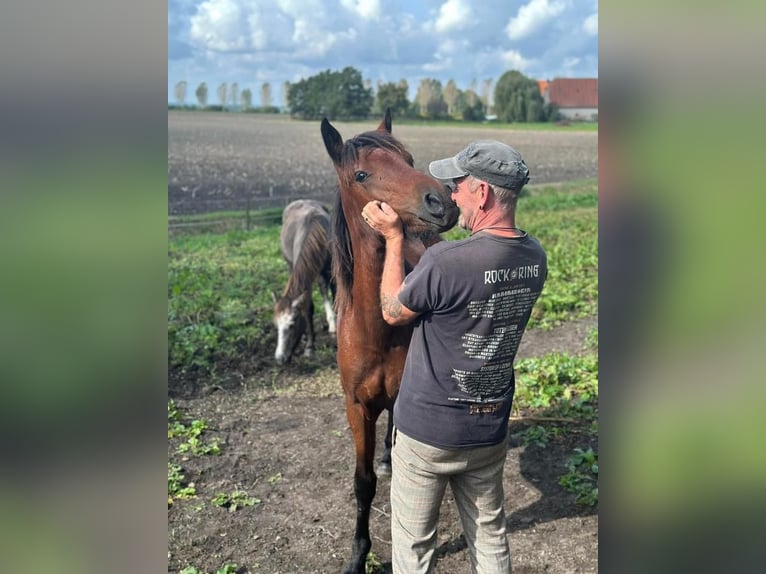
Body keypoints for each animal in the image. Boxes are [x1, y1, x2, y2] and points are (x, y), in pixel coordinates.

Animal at [274, 200, 338, 366]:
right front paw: (310, 346)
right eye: (277, 326)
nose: (279, 358)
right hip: (293, 266)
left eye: (292, 324)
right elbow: (308, 308)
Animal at [320, 112, 460, 574]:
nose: (442, 201)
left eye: (409, 160)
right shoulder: (356, 407)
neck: (374, 330)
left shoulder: (401, 396)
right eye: (361, 174)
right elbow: (363, 484)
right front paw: (357, 557)